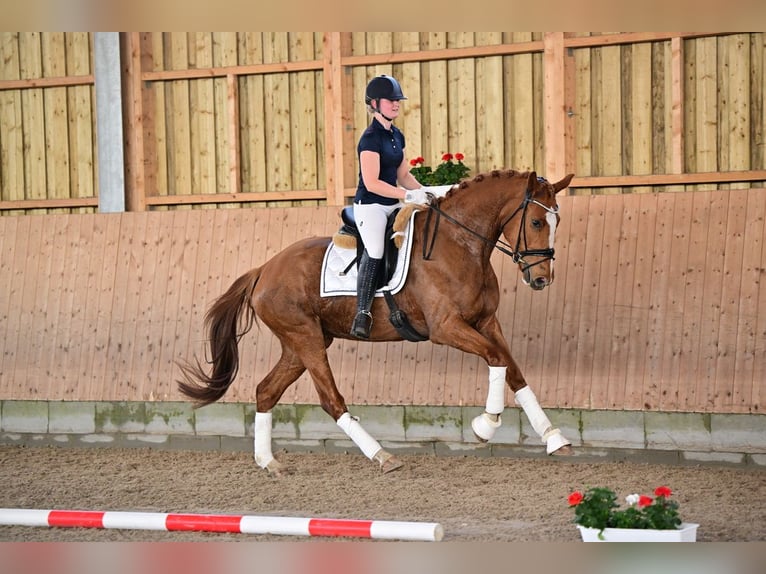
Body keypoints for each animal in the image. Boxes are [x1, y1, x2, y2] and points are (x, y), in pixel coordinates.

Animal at [178, 170, 576, 476]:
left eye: (557, 221)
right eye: (536, 221)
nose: (542, 279)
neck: (459, 244)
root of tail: (263, 270)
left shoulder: (487, 322)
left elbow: (513, 371)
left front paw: (554, 438)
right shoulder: (446, 328)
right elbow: (495, 359)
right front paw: (485, 425)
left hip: (300, 344)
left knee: (265, 391)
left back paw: (268, 462)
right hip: (305, 338)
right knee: (331, 400)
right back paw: (382, 456)